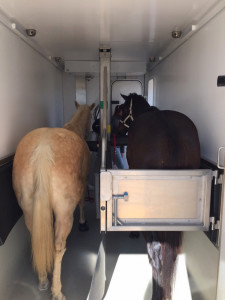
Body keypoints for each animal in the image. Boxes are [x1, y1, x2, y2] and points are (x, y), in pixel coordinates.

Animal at [12, 101, 94, 300]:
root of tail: (42, 149)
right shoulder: (84, 181)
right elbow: (82, 202)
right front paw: (83, 223)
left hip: (29, 210)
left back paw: (43, 279)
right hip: (65, 214)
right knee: (58, 247)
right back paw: (57, 291)